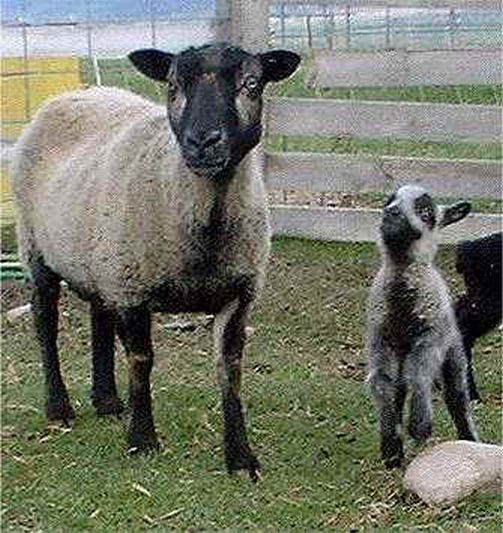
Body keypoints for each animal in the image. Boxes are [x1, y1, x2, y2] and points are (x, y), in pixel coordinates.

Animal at [9, 43, 302, 480]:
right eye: (173, 85)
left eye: (252, 84)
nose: (202, 141)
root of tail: (68, 96)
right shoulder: (134, 291)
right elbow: (141, 361)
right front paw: (143, 439)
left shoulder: (239, 294)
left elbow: (229, 370)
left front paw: (240, 457)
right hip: (37, 249)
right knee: (45, 324)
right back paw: (59, 408)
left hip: (101, 258)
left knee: (98, 318)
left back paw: (108, 401)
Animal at [366, 185, 480, 468]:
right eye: (390, 200)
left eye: (425, 211)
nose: (391, 212)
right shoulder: (380, 340)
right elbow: (381, 382)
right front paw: (390, 446)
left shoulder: (430, 338)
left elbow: (420, 374)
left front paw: (419, 428)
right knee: (398, 389)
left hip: (453, 354)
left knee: (456, 397)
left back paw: (470, 439)